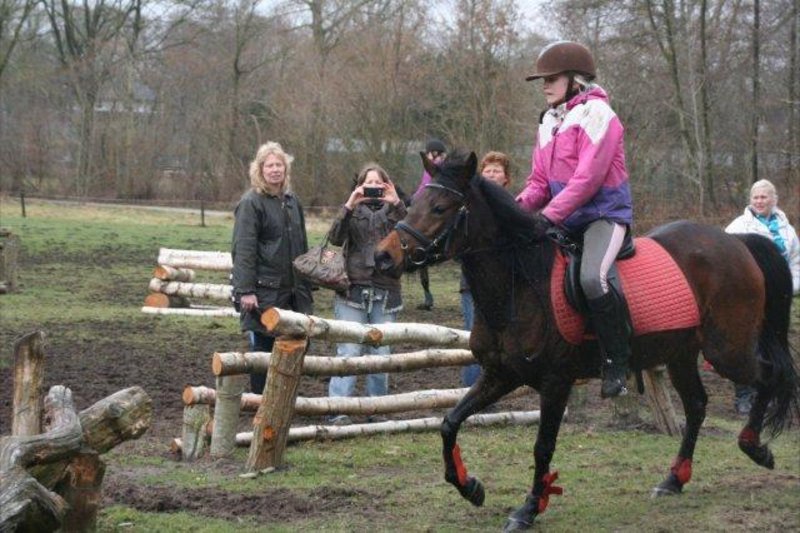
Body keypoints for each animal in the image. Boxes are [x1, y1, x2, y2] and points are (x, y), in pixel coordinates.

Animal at [374, 151, 799, 531]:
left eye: (441, 207)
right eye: (411, 203)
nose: (383, 257)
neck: (519, 286)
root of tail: (737, 242)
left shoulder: (555, 382)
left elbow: (542, 446)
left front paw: (529, 508)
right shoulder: (500, 375)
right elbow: (449, 423)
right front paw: (470, 487)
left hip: (727, 350)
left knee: (769, 377)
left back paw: (754, 447)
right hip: (681, 353)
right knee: (697, 404)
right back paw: (674, 479)